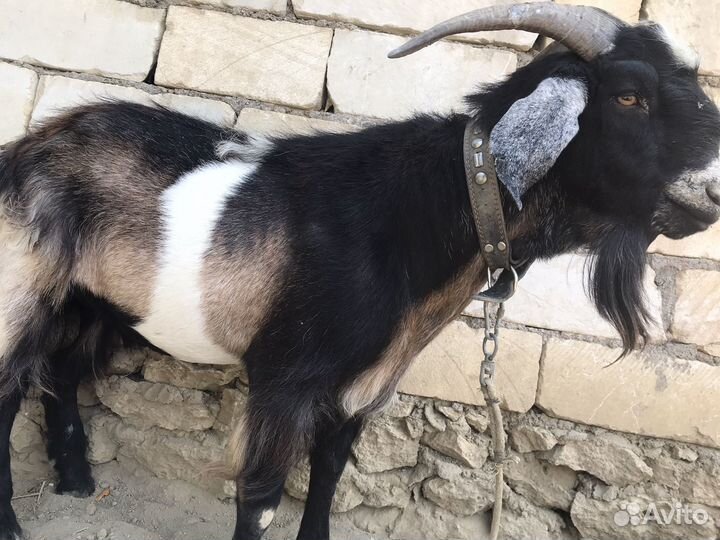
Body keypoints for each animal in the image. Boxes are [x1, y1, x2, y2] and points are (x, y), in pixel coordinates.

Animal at [1, 3, 719, 539]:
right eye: (629, 95)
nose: (713, 189)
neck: (411, 219)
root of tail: (32, 145)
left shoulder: (365, 388)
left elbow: (326, 481)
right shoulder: (284, 380)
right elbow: (261, 499)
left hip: (96, 300)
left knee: (64, 370)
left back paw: (77, 482)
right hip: (27, 287)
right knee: (11, 388)